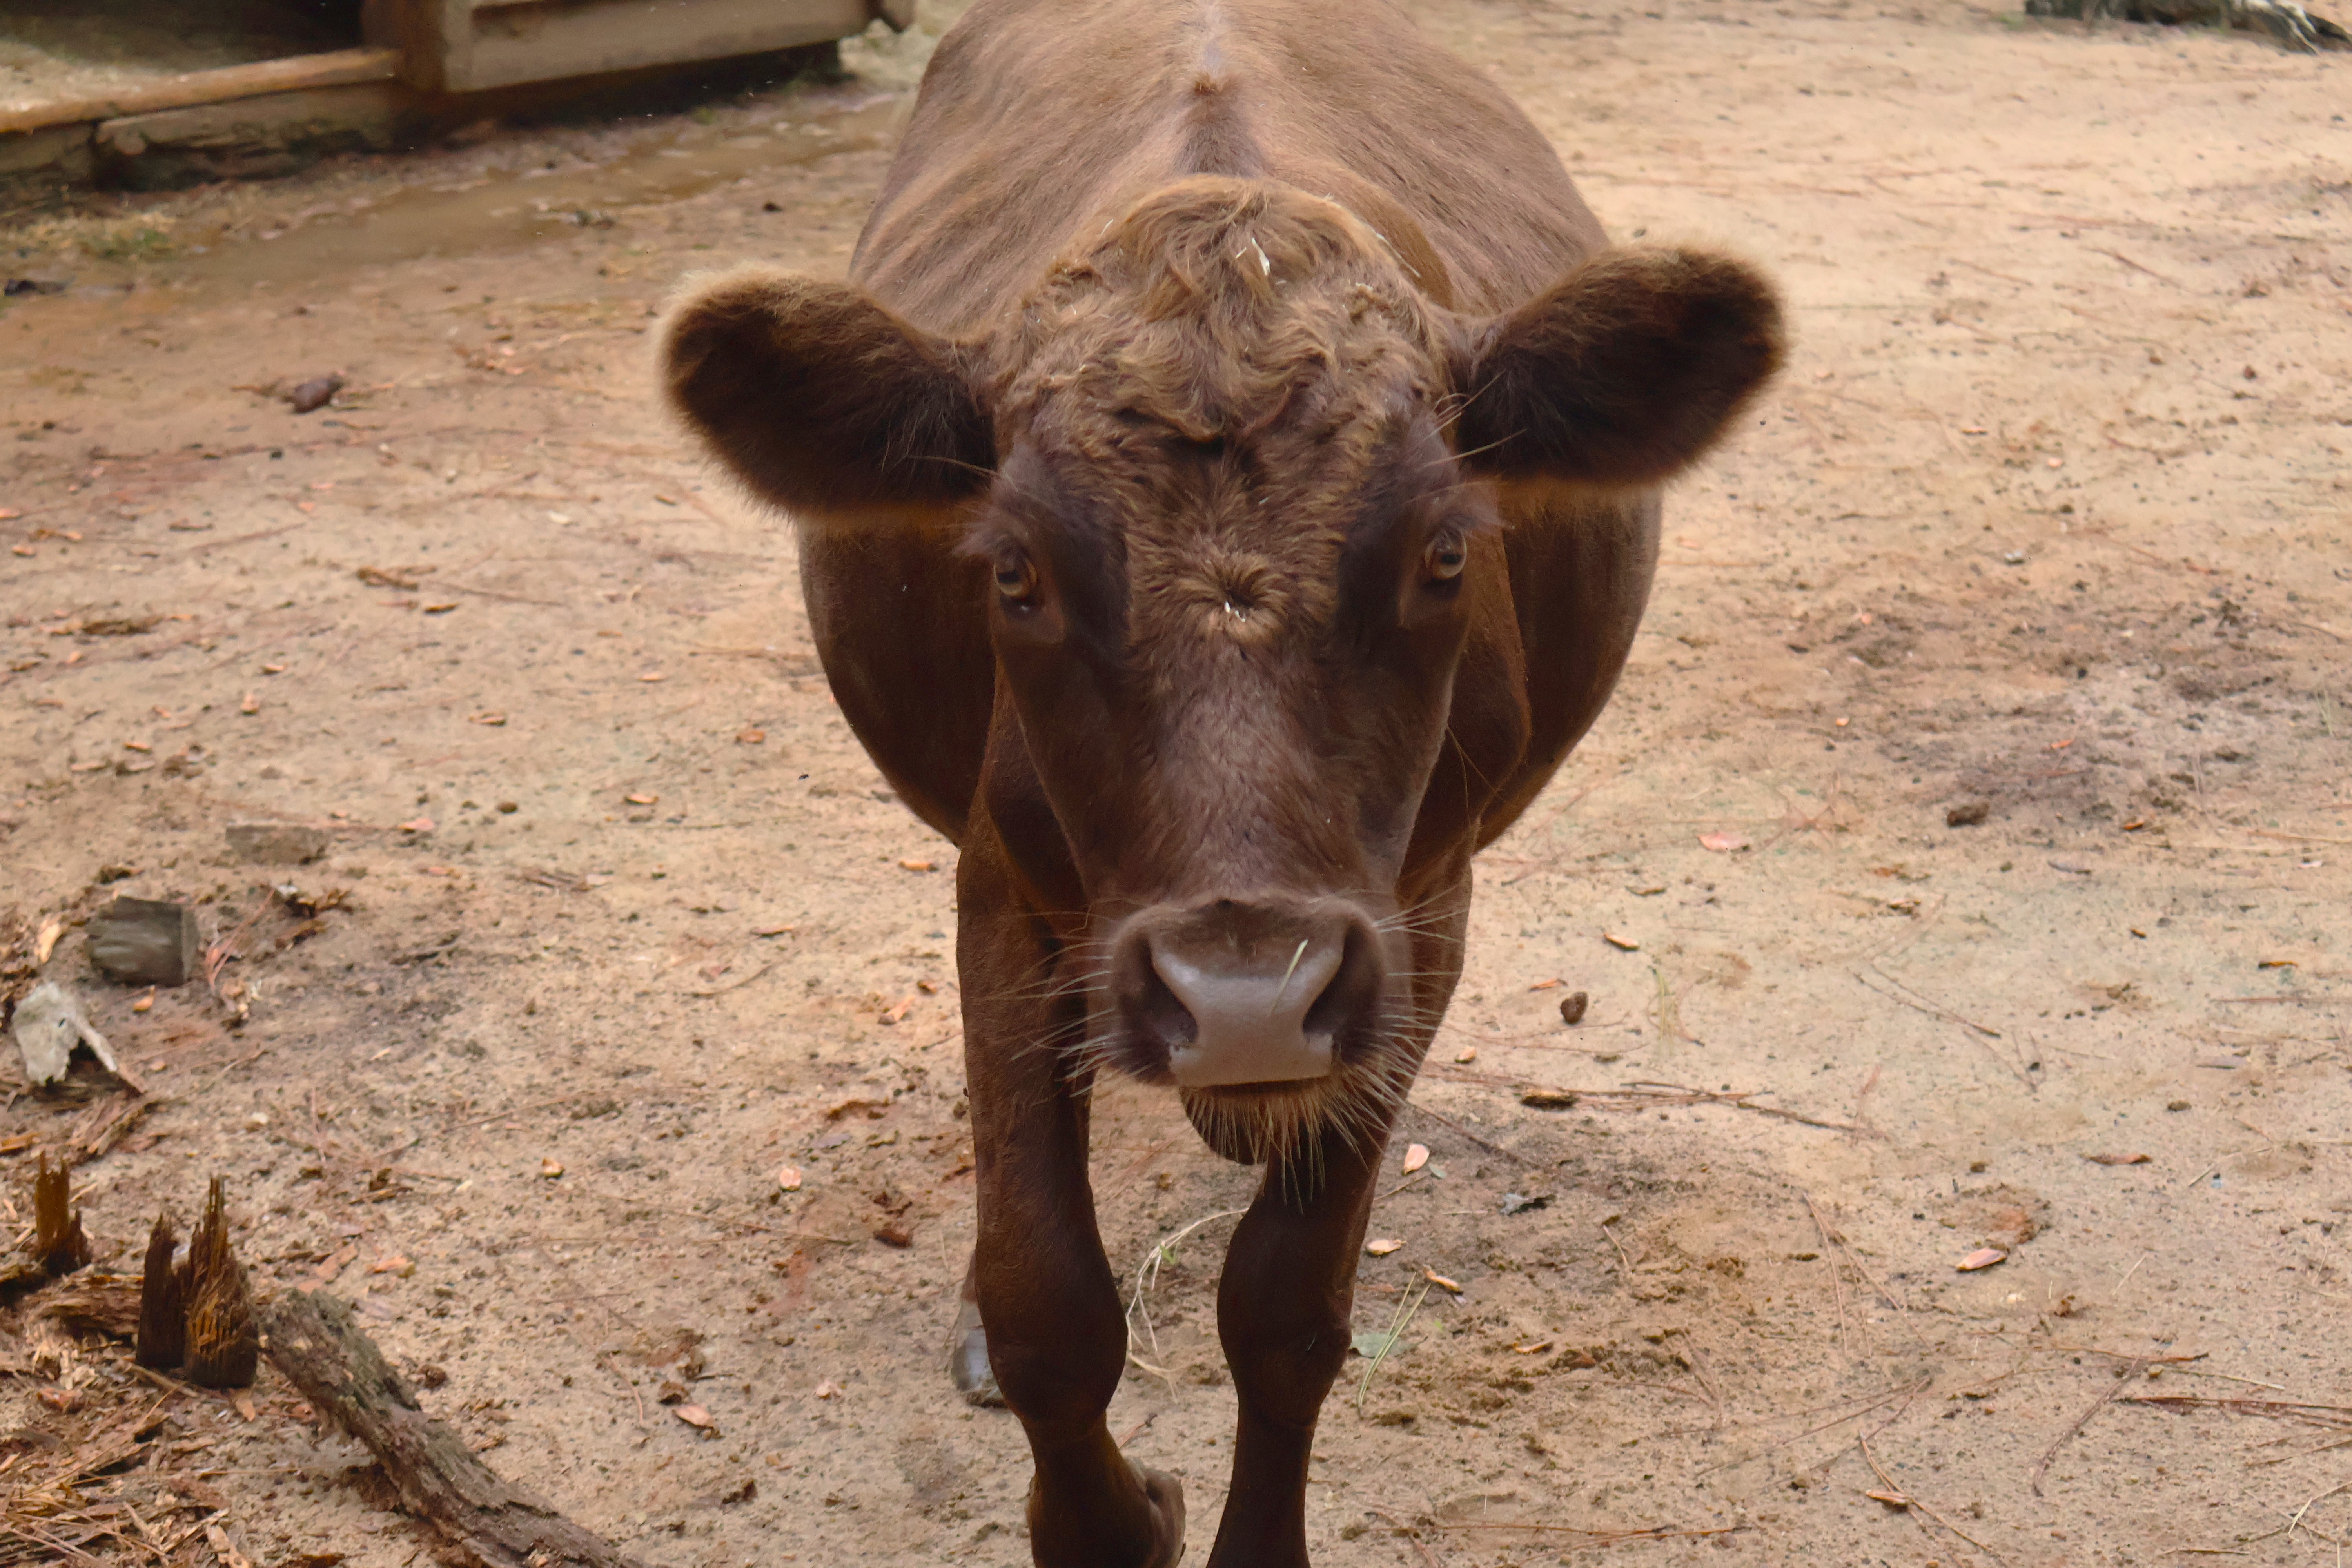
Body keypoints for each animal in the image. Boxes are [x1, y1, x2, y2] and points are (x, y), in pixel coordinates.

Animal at [661, 2, 1782, 1562]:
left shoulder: (1417, 917)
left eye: (1445, 551)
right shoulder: (1003, 884)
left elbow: (1284, 1304)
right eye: (1013, 572)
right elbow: (1047, 1298)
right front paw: (1106, 1502)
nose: (1244, 994)